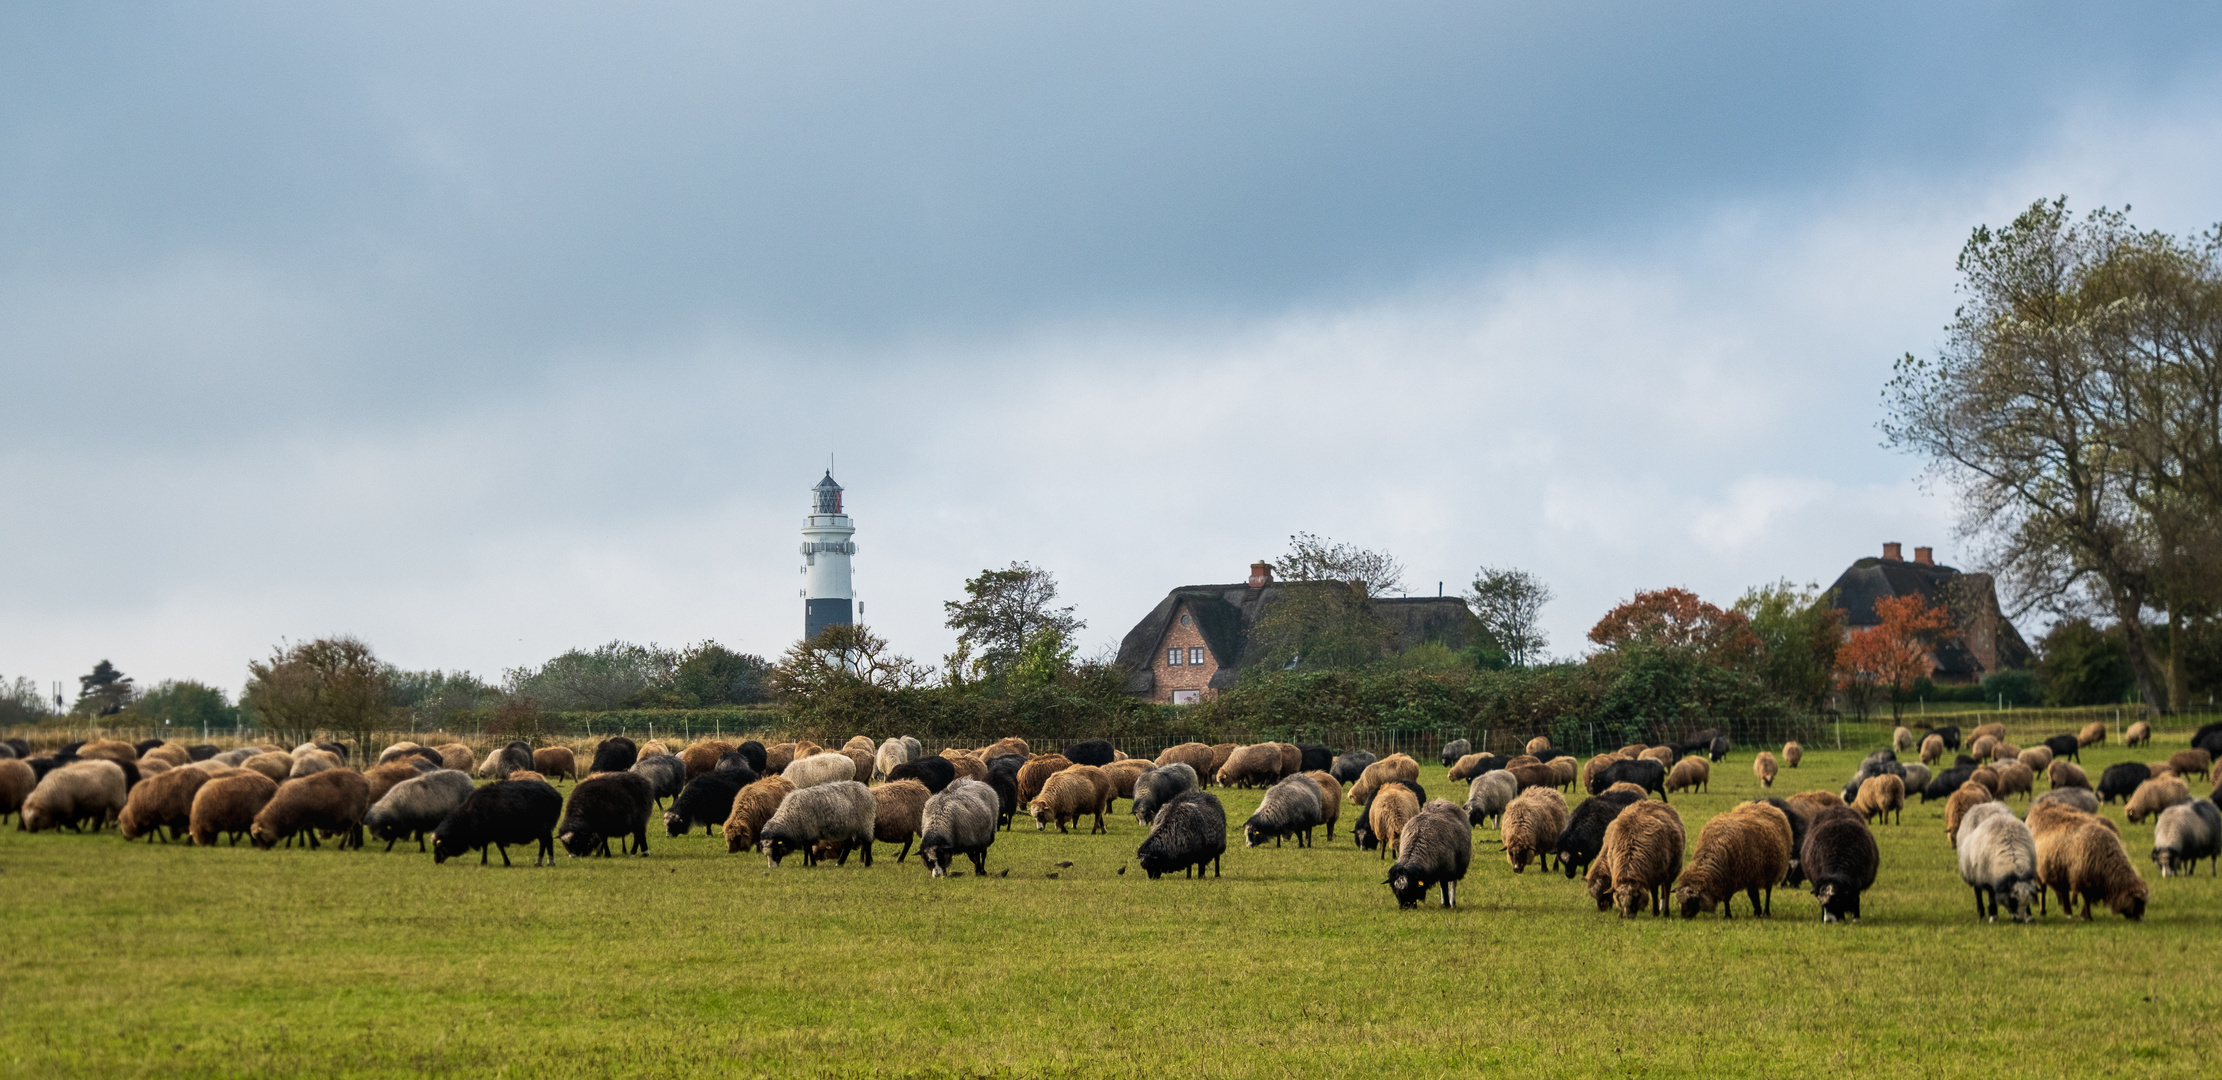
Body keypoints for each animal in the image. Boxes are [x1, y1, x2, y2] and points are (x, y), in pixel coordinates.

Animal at [428, 782, 559, 866]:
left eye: (441, 847)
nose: (436, 860)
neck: (468, 818)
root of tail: (557, 795)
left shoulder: (493, 833)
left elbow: (498, 847)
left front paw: (504, 862)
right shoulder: (487, 835)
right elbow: (487, 847)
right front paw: (485, 862)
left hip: (543, 828)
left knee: (547, 842)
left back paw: (545, 862)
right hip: (542, 830)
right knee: (545, 842)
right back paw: (544, 862)